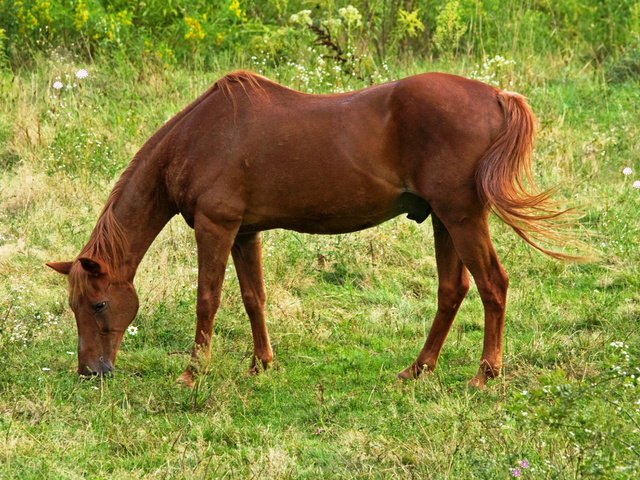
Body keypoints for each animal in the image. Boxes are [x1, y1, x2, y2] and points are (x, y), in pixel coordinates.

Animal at [46, 69, 568, 388]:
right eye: (73, 305)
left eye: (97, 303)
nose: (90, 372)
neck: (198, 138)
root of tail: (497, 96)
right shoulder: (244, 232)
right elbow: (253, 298)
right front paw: (261, 363)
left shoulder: (215, 228)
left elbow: (207, 300)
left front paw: (194, 373)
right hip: (445, 218)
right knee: (452, 290)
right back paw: (418, 369)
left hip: (462, 217)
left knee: (492, 285)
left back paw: (484, 374)